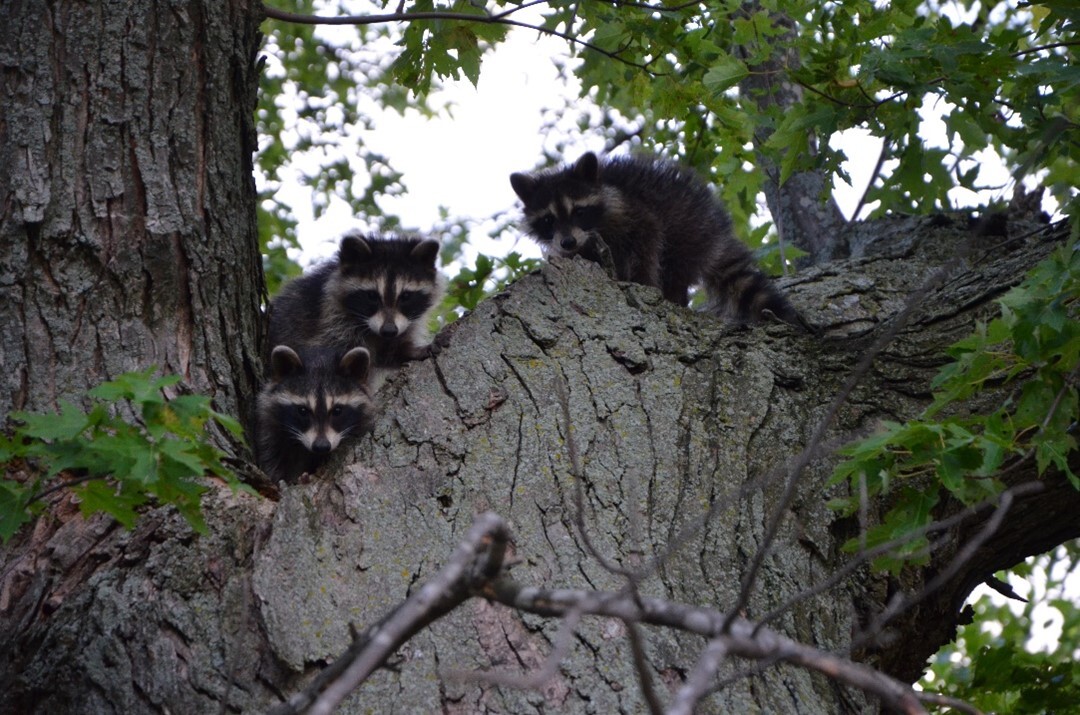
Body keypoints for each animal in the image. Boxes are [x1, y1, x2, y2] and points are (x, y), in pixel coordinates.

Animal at [270, 234, 447, 386]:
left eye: (406, 296)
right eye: (372, 296)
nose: (389, 330)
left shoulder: (405, 324)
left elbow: (389, 353)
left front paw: (413, 351)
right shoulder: (329, 320)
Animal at [509, 154, 799, 328]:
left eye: (579, 211)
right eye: (548, 220)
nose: (568, 242)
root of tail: (716, 228)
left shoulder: (629, 210)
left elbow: (647, 236)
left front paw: (642, 282)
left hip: (687, 229)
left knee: (672, 262)